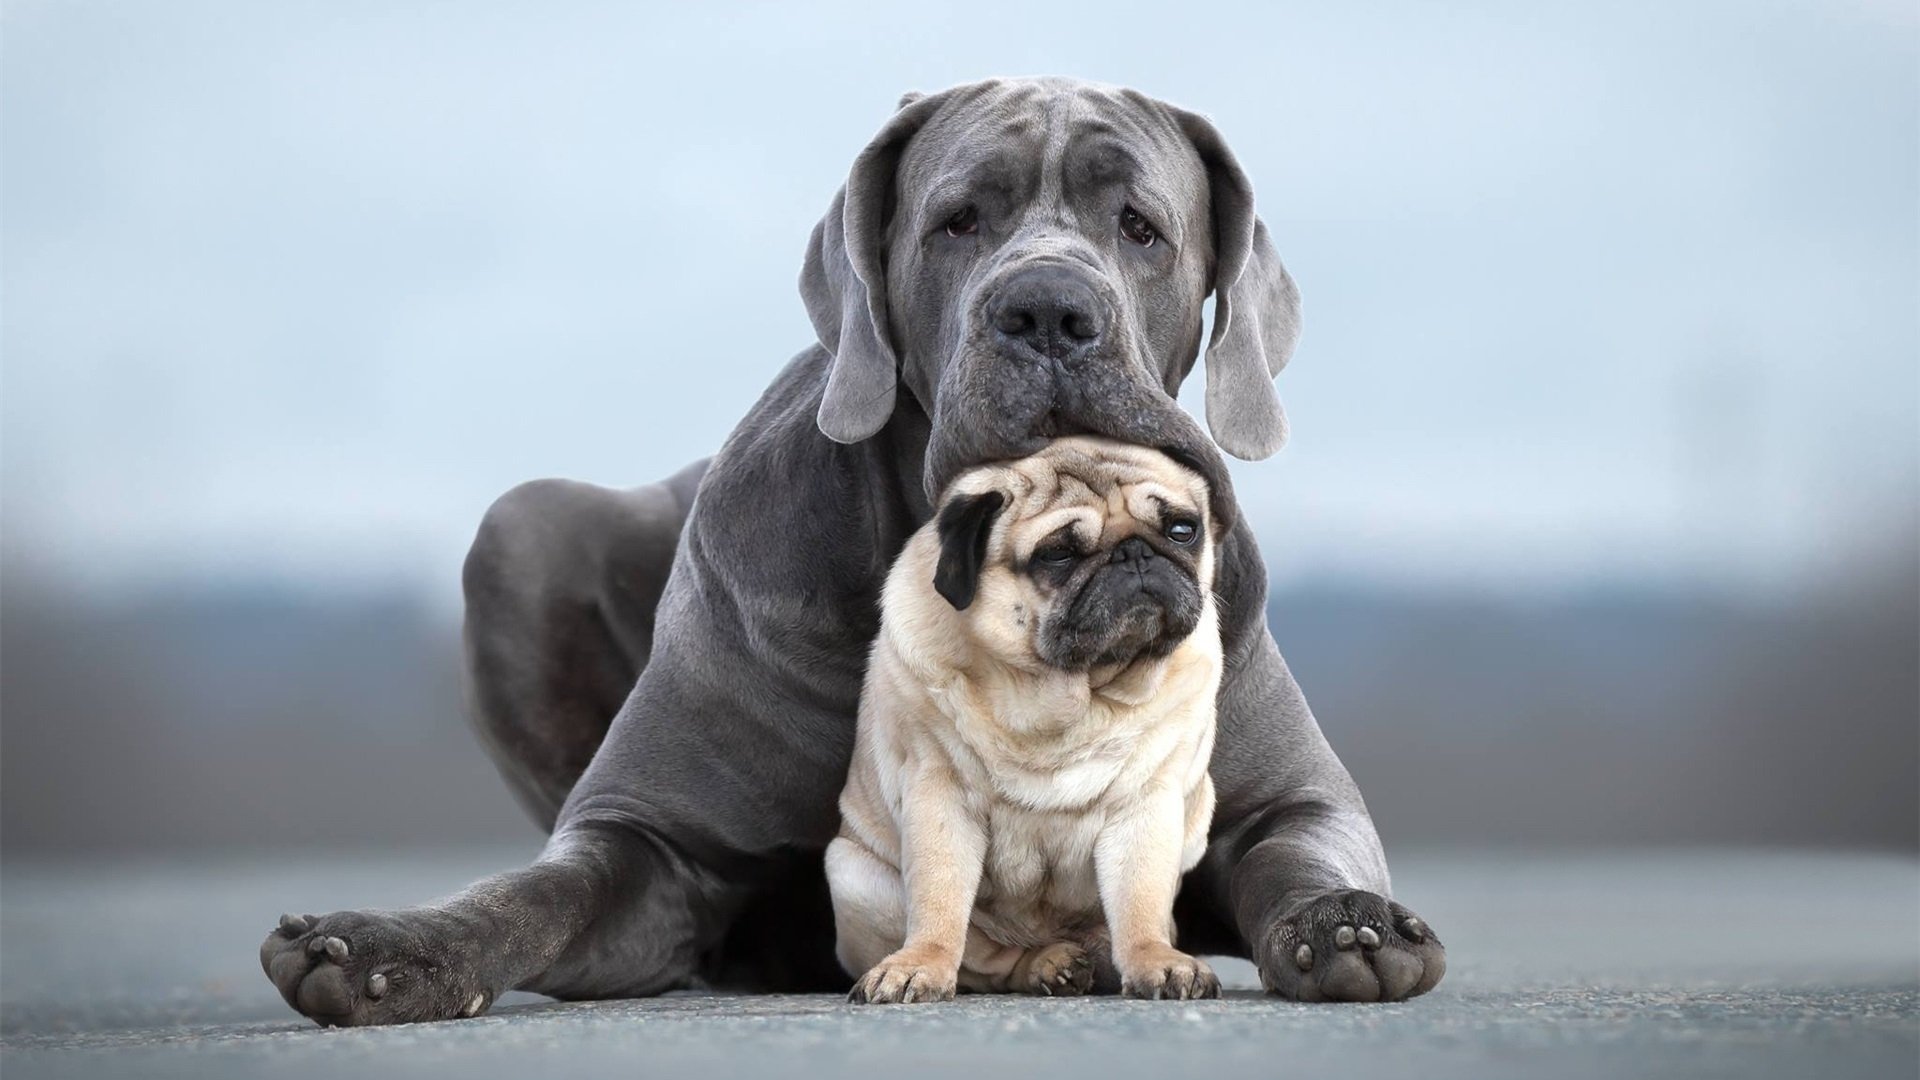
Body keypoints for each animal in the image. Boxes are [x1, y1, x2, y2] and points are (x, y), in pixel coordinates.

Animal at [263, 75, 1443, 1014]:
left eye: (1141, 226)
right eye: (957, 220)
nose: (1048, 309)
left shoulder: (1278, 801)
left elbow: (1299, 851)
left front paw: (1349, 923)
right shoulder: (644, 839)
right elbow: (527, 896)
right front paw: (391, 948)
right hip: (524, 528)